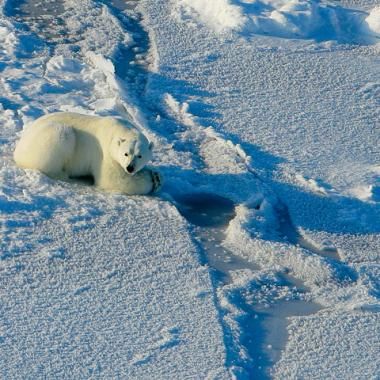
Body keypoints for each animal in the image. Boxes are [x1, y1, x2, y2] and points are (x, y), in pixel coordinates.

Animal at [13, 111, 161, 194]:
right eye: (126, 153)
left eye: (140, 155)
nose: (130, 168)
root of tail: (18, 148)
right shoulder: (105, 153)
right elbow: (112, 179)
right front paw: (153, 180)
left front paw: (156, 176)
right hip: (49, 138)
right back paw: (66, 175)